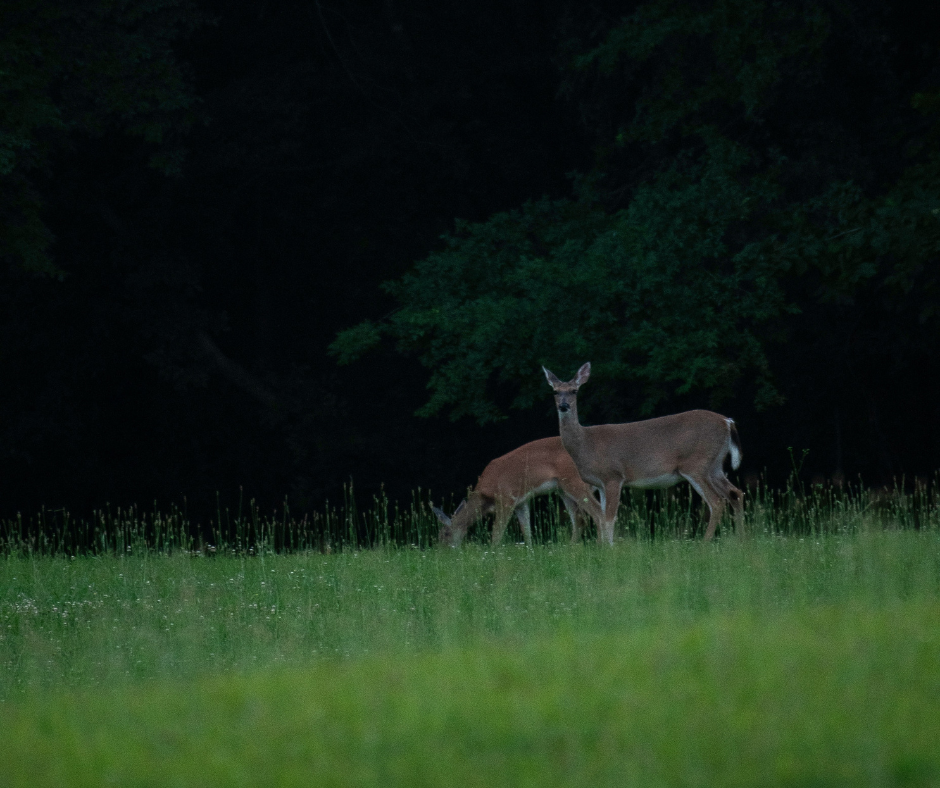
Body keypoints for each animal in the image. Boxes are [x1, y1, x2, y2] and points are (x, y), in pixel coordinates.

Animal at [432, 436, 606, 547]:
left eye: (445, 534)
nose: (442, 552)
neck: (485, 496)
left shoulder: (506, 498)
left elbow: (497, 532)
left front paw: (493, 554)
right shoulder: (521, 502)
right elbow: (526, 530)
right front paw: (530, 553)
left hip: (574, 481)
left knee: (597, 514)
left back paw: (599, 546)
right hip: (563, 489)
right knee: (580, 519)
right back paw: (571, 547)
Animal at [543, 362, 744, 544]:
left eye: (574, 391)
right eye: (555, 392)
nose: (564, 406)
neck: (585, 444)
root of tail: (727, 422)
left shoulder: (613, 476)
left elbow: (608, 518)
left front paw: (609, 550)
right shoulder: (600, 484)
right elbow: (602, 517)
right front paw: (604, 548)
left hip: (696, 464)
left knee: (717, 501)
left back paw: (704, 544)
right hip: (714, 466)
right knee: (735, 493)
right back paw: (740, 540)